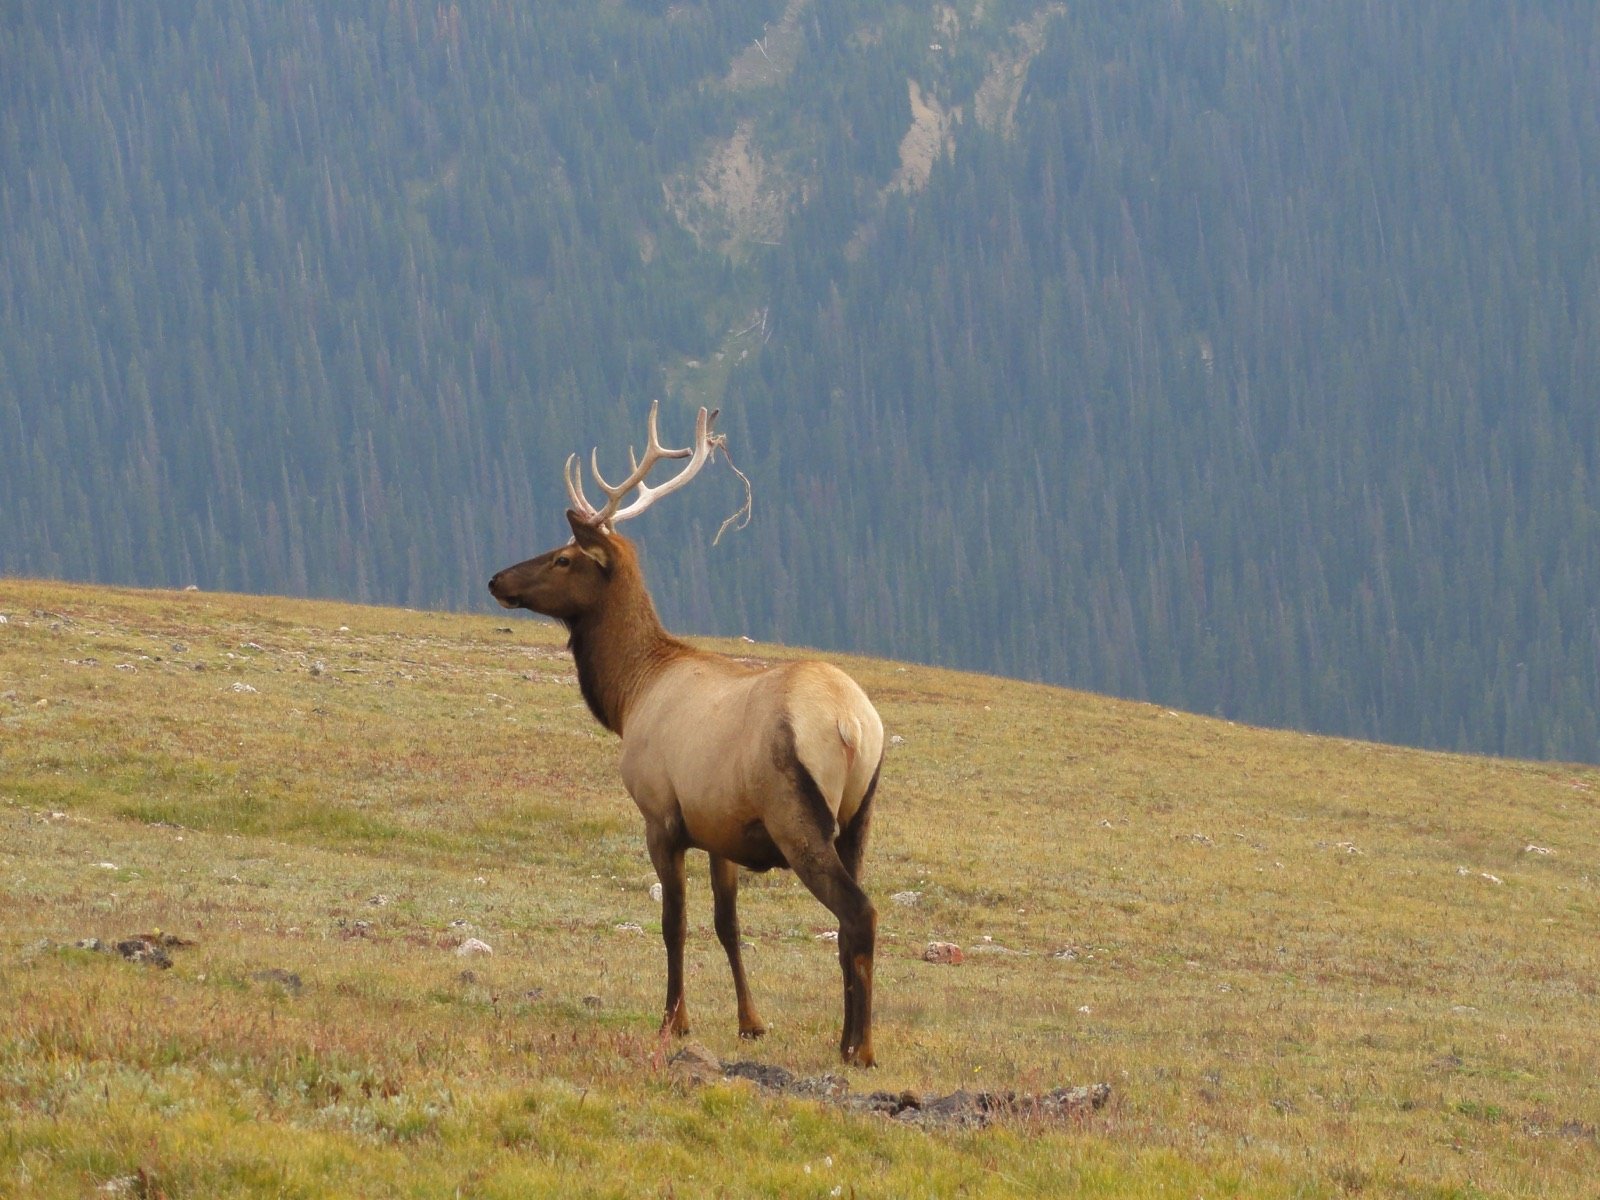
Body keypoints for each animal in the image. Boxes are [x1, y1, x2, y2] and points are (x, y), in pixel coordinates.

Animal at [488, 404, 884, 1067]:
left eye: (564, 557)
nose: (496, 579)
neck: (630, 695)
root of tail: (853, 723)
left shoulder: (661, 815)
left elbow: (673, 923)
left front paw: (673, 1020)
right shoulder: (719, 828)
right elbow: (728, 924)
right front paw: (751, 1021)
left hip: (798, 816)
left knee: (859, 913)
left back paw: (856, 1046)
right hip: (860, 815)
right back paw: (856, 1039)